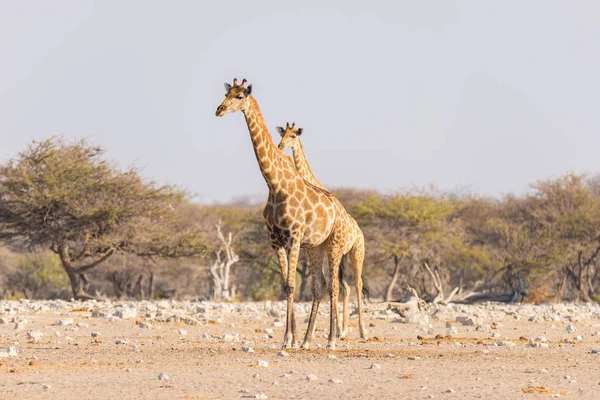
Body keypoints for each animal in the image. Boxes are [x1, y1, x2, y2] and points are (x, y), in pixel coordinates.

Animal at [216, 77, 350, 346]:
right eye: (226, 93)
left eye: (239, 96)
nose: (219, 110)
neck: (274, 184)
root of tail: (342, 212)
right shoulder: (275, 240)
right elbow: (286, 285)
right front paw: (292, 338)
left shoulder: (294, 236)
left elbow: (291, 285)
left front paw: (289, 338)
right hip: (316, 246)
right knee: (320, 284)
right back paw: (308, 340)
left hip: (335, 243)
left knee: (334, 286)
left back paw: (331, 339)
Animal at [278, 122, 370, 340]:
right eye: (282, 134)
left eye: (293, 135)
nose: (280, 146)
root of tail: (360, 232)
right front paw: (331, 330)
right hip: (342, 256)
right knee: (344, 287)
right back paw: (342, 330)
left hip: (356, 253)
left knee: (357, 283)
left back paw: (361, 331)